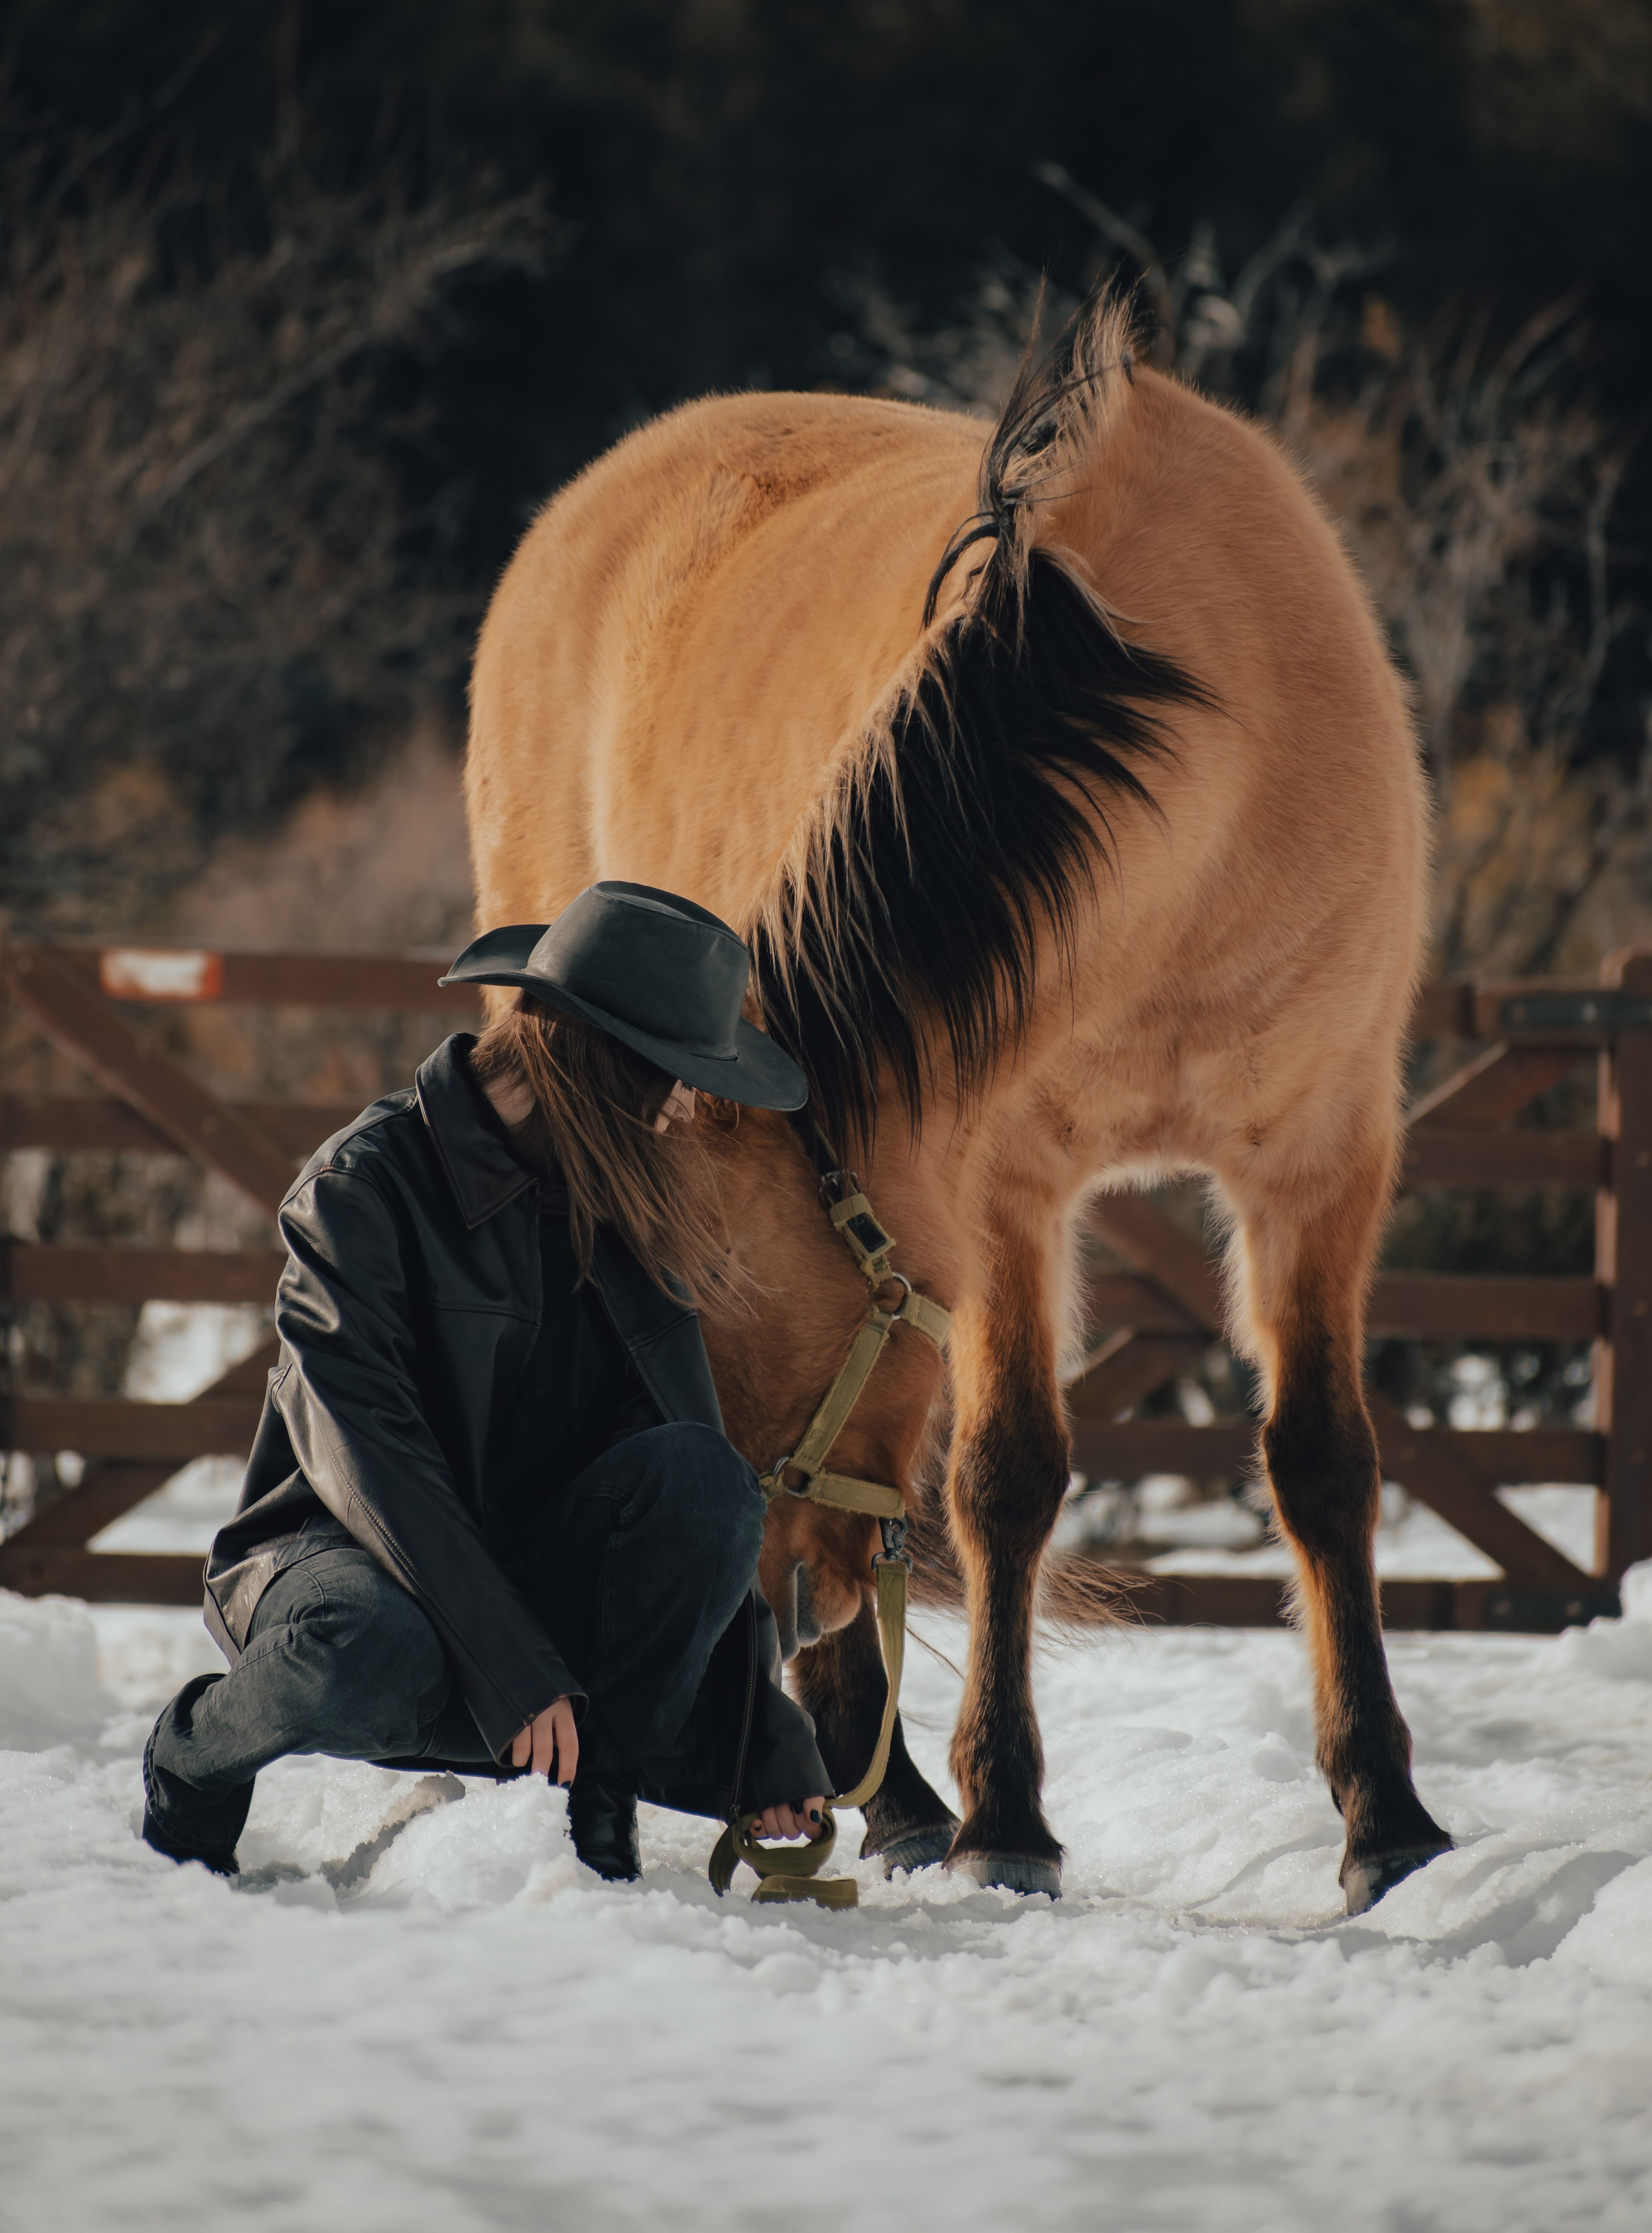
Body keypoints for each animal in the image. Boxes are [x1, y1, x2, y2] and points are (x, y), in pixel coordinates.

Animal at [463, 291, 1453, 1913]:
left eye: (711, 1312)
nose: (744, 1581)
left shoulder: (1319, 1158)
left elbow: (1321, 1461)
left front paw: (1388, 1821)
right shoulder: (1002, 1188)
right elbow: (1005, 1478)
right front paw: (1004, 1818)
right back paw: (902, 1795)